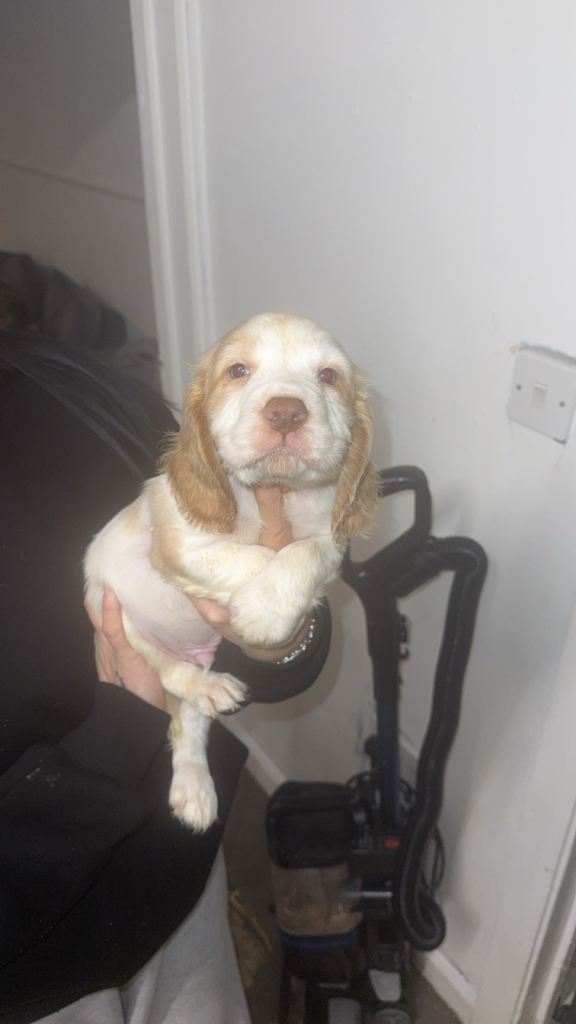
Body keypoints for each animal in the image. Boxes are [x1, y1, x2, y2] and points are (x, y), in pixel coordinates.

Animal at [85, 313, 378, 831]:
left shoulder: (329, 540)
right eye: (238, 371)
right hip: (113, 613)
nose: (286, 412)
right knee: (171, 673)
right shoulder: (180, 545)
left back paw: (194, 789)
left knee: (190, 721)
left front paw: (266, 608)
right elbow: (250, 556)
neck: (272, 492)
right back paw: (208, 687)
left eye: (329, 376)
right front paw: (258, 607)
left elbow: (301, 553)